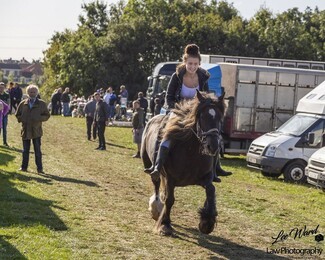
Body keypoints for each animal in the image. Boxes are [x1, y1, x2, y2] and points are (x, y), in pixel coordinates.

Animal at [140, 90, 224, 237]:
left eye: (219, 117)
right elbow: (169, 200)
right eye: (202, 117)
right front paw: (165, 225)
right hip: (149, 164)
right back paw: (156, 208)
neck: (190, 152)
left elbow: (211, 190)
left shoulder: (205, 178)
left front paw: (207, 222)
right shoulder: (170, 178)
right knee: (156, 183)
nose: (213, 146)